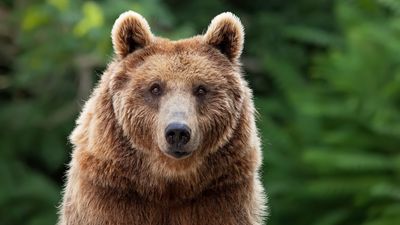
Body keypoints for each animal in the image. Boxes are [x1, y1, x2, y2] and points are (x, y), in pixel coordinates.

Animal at [57, 10, 266, 225]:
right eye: (155, 88)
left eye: (201, 89)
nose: (178, 131)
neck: (168, 180)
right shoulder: (109, 193)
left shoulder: (222, 193)